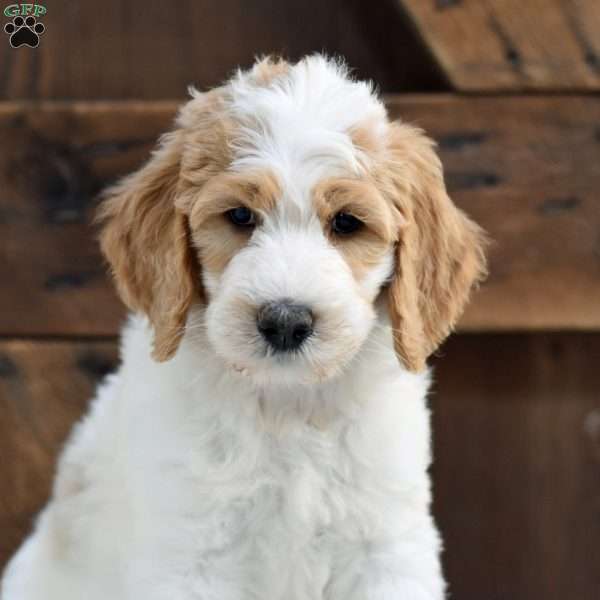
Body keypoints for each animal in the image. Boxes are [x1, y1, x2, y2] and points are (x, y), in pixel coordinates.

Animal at [1, 54, 488, 596]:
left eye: (346, 222)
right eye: (239, 216)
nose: (285, 322)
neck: (287, 405)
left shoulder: (385, 546)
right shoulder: (193, 553)